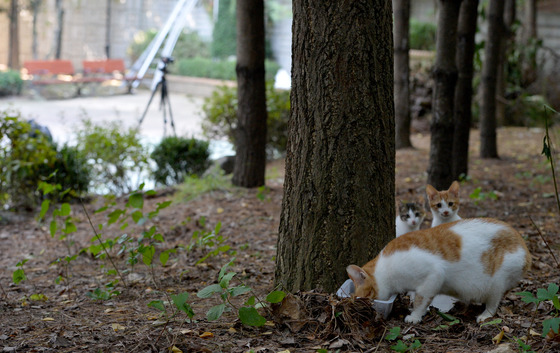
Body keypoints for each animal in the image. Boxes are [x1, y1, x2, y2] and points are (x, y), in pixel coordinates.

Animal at [344, 219, 532, 324]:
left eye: (363, 298)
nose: (356, 307)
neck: (384, 268)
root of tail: (524, 246)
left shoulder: (433, 275)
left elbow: (420, 300)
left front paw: (415, 316)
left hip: (497, 281)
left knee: (493, 303)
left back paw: (484, 315)